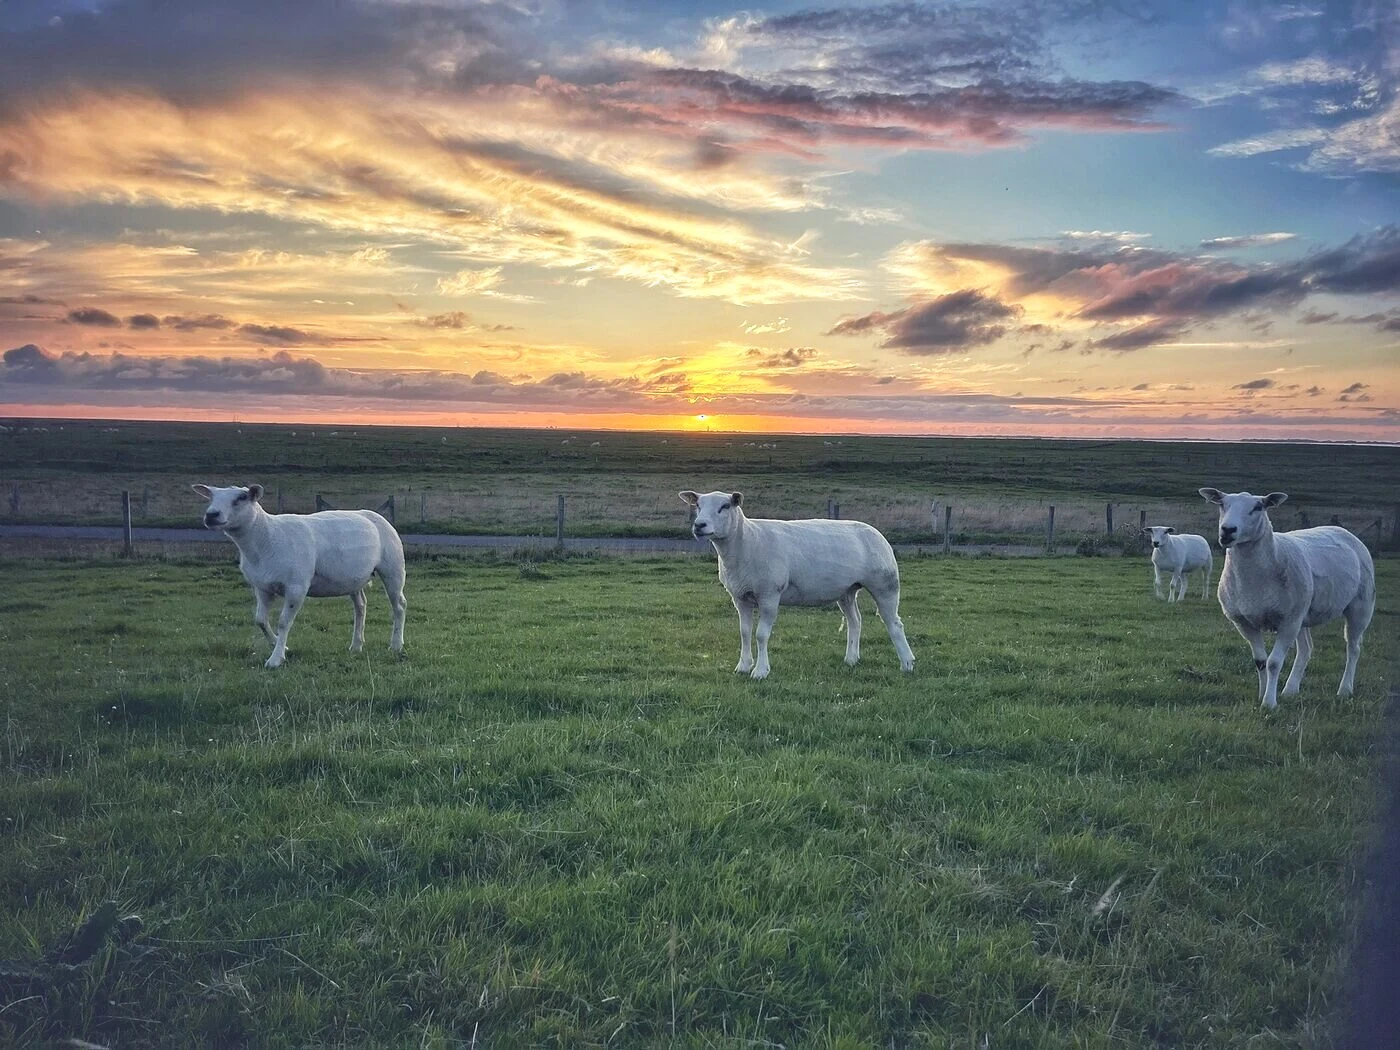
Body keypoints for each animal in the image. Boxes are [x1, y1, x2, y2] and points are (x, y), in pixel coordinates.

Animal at [193, 483, 407, 668]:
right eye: (211, 497)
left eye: (241, 497)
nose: (211, 515)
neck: (265, 537)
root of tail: (372, 514)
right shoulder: (261, 587)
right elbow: (260, 620)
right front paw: (279, 645)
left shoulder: (297, 586)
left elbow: (283, 622)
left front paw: (276, 659)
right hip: (353, 579)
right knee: (361, 606)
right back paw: (356, 646)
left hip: (393, 568)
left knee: (399, 605)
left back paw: (396, 645)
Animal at [679, 489, 915, 680]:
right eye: (698, 506)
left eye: (725, 506)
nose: (699, 525)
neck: (747, 541)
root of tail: (875, 531)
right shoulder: (740, 596)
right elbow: (744, 632)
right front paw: (743, 667)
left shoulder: (769, 594)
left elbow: (761, 635)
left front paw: (760, 671)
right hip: (846, 590)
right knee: (855, 621)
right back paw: (851, 659)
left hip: (885, 584)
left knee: (894, 623)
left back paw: (907, 663)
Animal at [1199, 488, 1374, 709]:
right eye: (1222, 504)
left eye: (1258, 507)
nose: (1227, 530)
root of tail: (1344, 532)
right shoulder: (1244, 623)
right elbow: (1260, 662)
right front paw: (1262, 695)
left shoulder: (1288, 621)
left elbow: (1274, 663)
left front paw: (1269, 703)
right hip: (1302, 614)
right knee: (1306, 649)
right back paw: (1290, 690)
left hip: (1360, 606)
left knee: (1353, 648)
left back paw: (1344, 690)